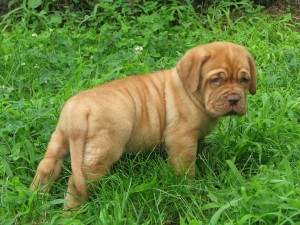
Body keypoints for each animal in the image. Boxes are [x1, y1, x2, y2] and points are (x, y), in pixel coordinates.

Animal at [29, 41, 255, 209]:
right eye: (216, 80)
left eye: (244, 80)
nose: (234, 99)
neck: (191, 92)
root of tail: (77, 111)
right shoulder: (182, 140)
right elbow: (186, 169)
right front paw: (189, 189)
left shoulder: (197, 138)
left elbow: (200, 152)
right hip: (103, 149)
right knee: (77, 181)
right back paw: (72, 212)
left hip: (60, 139)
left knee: (47, 166)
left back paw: (36, 197)